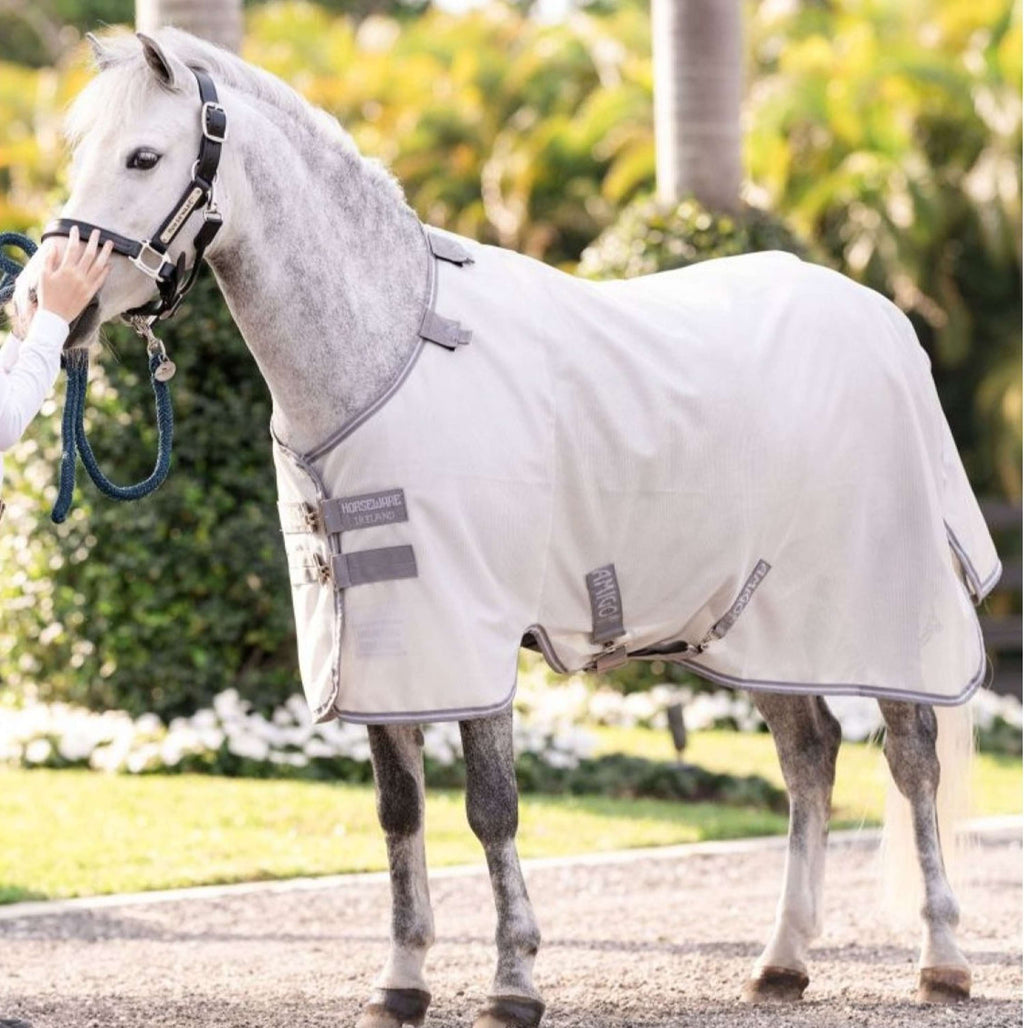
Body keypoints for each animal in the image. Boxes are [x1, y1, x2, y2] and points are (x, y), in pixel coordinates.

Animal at [14, 28, 995, 1026]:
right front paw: (401, 981)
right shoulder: (385, 642)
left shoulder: (469, 631)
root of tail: (886, 320)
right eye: (80, 152)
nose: (53, 299)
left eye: (143, 156)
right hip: (760, 628)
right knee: (809, 756)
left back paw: (942, 960)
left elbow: (491, 807)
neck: (390, 350)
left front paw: (514, 982)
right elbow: (399, 813)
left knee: (912, 763)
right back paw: (782, 963)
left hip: (882, 620)